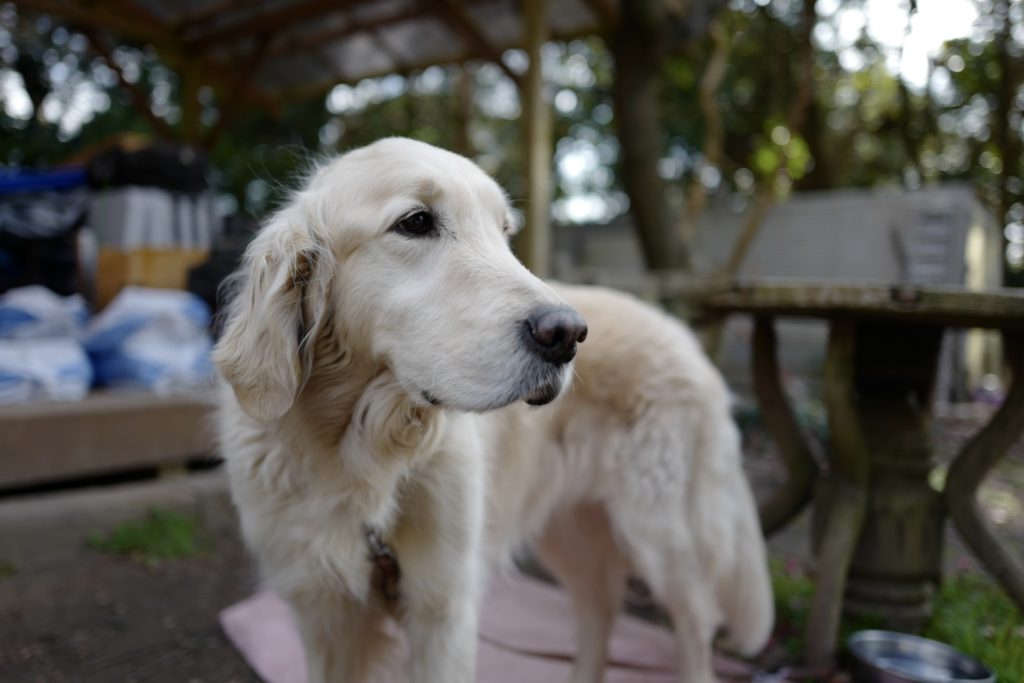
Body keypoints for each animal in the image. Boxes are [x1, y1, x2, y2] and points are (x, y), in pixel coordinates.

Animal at [218, 139, 774, 683]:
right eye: (416, 221)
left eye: (504, 233)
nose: (568, 334)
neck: (360, 458)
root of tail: (684, 339)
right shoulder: (324, 616)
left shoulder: (444, 611)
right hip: (569, 530)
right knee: (599, 606)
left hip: (659, 534)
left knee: (696, 621)